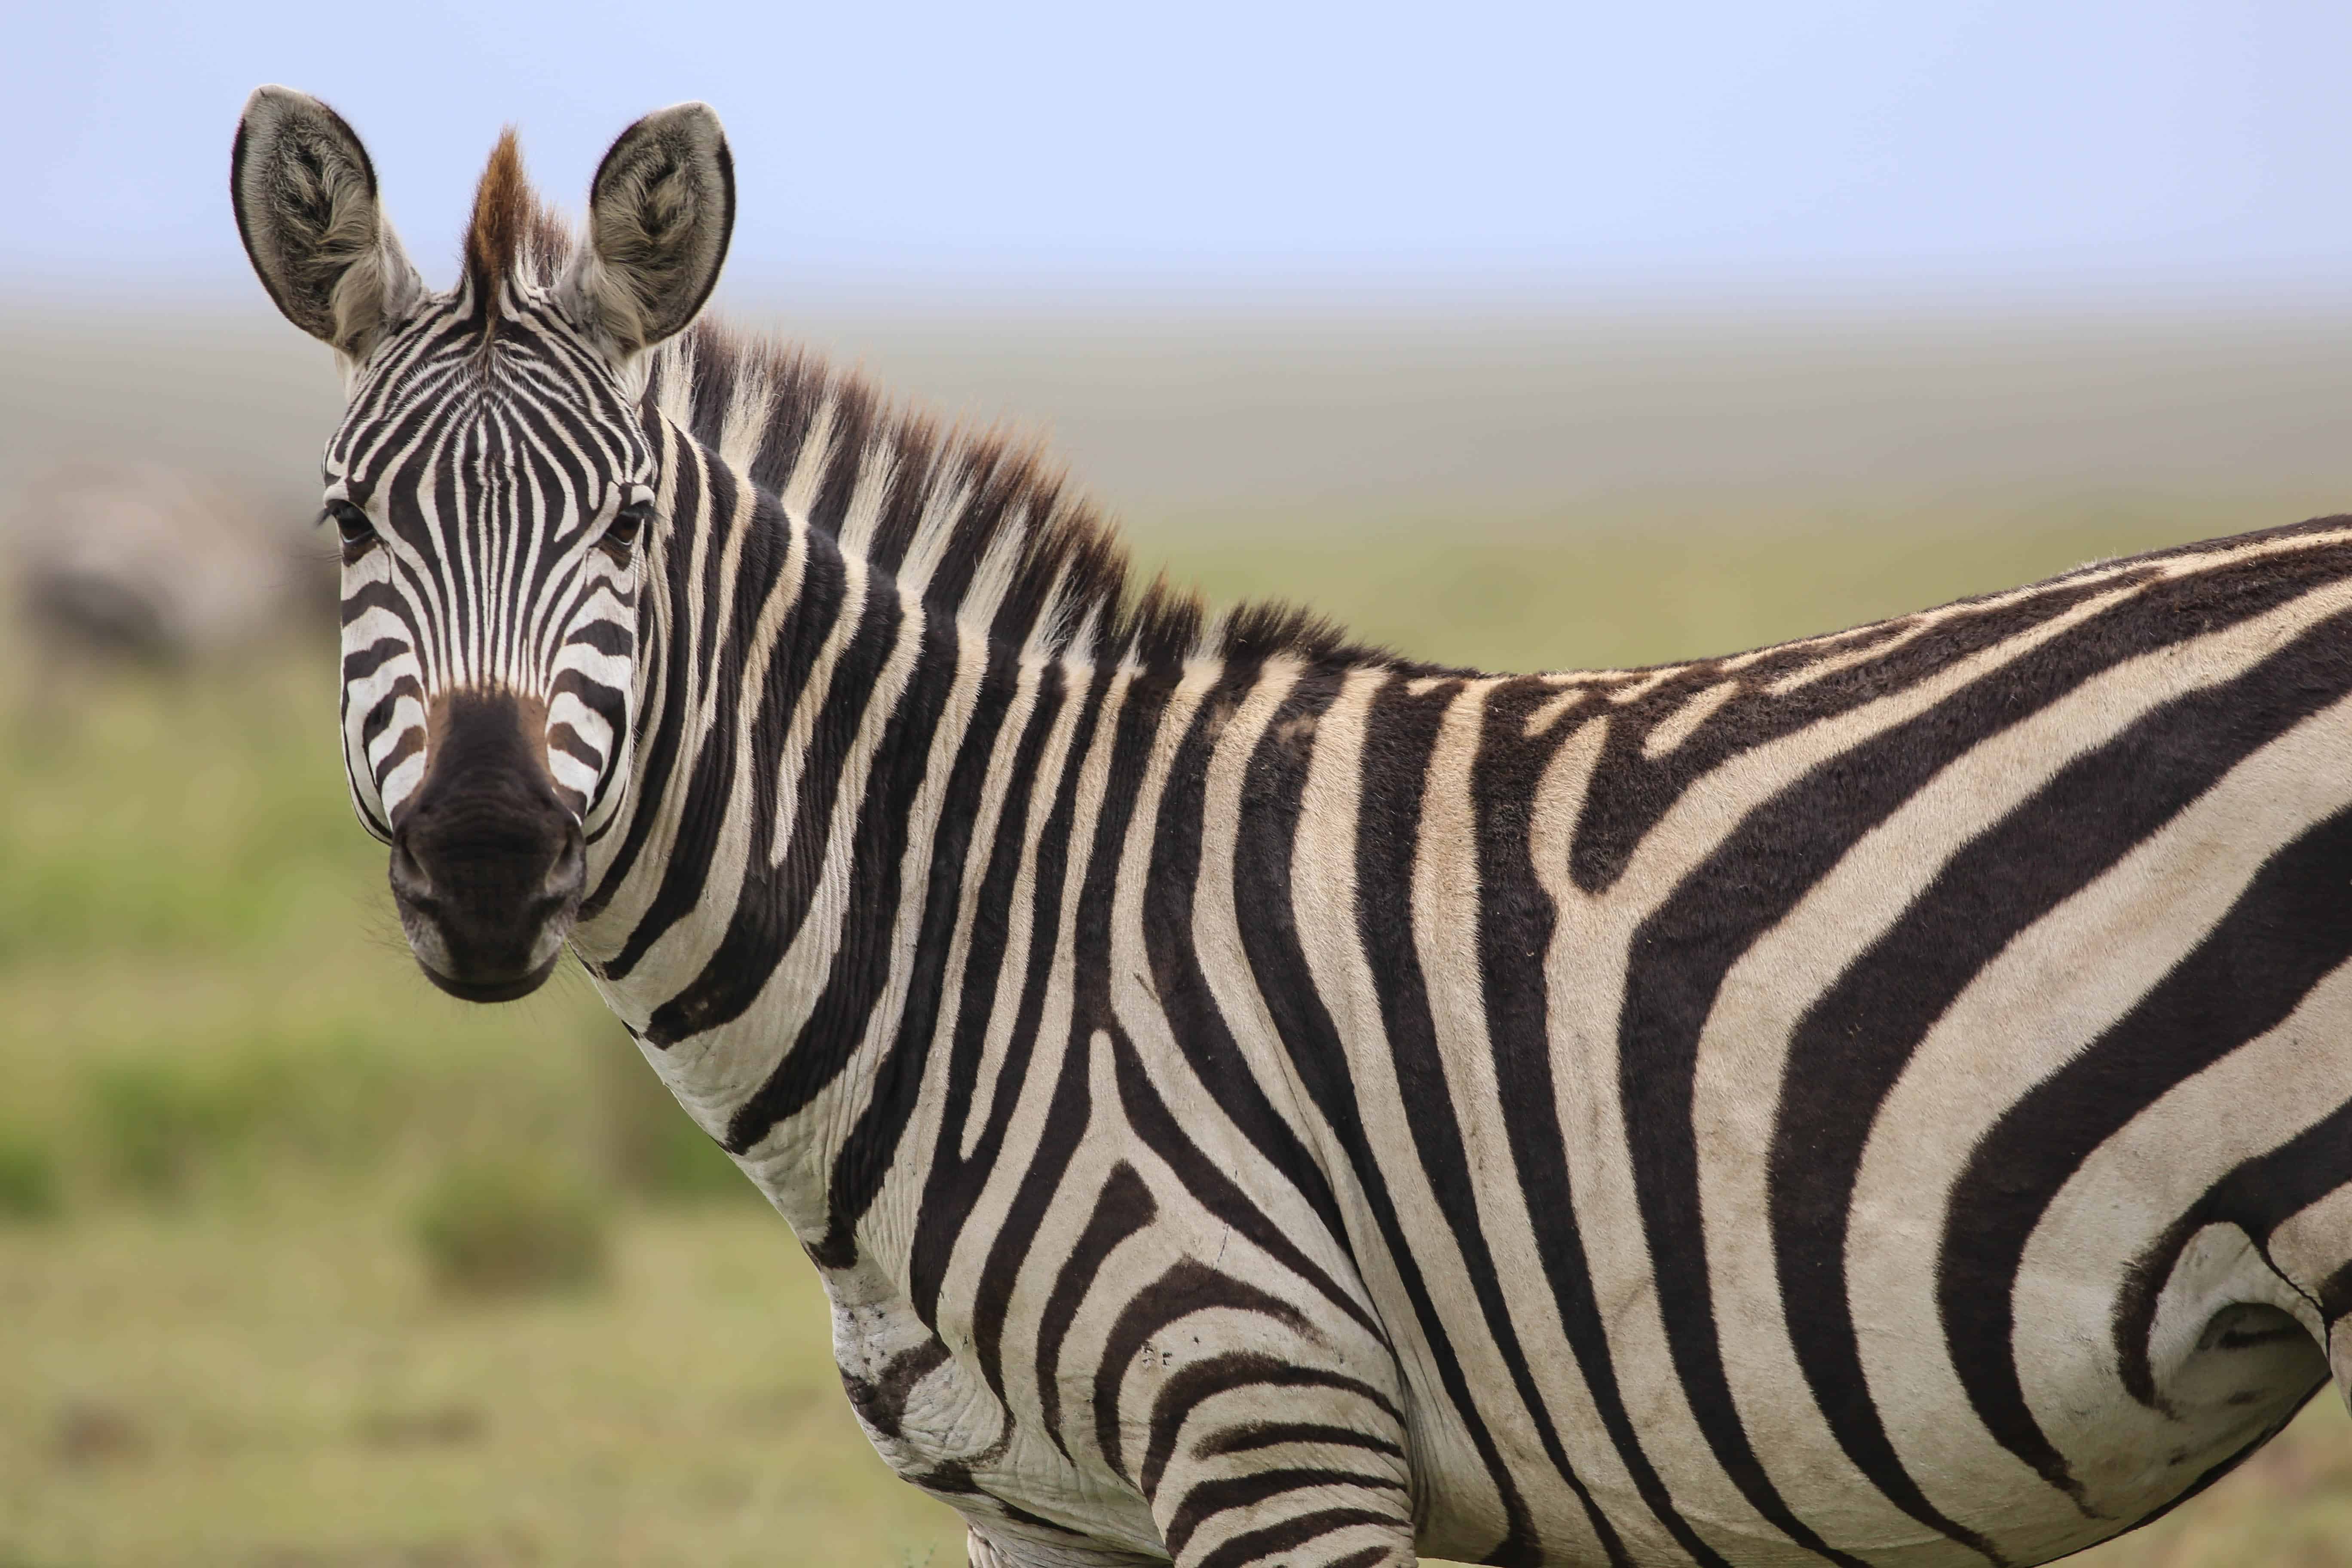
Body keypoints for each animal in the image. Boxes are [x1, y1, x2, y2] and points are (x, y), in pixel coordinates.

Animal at [231, 85, 2352, 1568]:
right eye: (345, 524)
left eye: (629, 526)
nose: (484, 854)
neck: (971, 926)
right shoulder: (1041, 1508)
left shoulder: (1273, 1414)